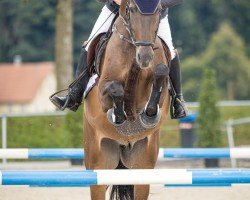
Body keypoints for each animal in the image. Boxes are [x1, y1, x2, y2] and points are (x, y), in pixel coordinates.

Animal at [84, 0, 172, 199]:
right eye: (131, 10)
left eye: (159, 11)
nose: (145, 57)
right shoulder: (102, 91)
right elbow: (115, 89)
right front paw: (118, 115)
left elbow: (161, 72)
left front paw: (149, 115)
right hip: (98, 163)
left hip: (142, 163)